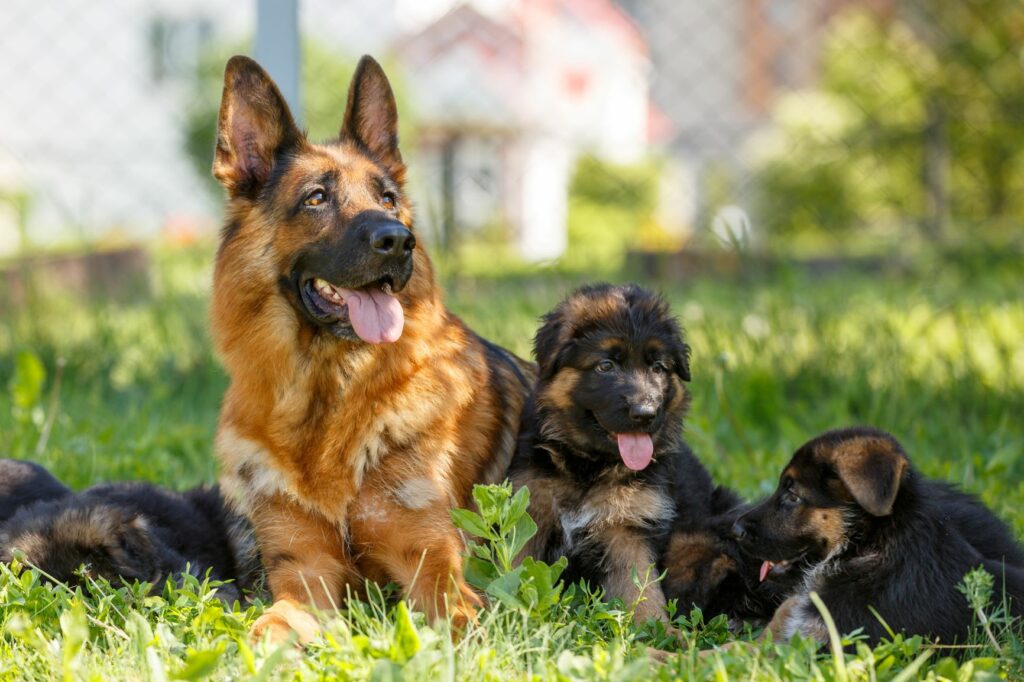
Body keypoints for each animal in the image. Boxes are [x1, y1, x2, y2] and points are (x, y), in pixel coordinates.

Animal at [507, 280, 716, 622]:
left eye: (658, 367)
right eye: (606, 366)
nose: (645, 413)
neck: (588, 467)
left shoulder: (628, 527)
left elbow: (640, 588)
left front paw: (657, 631)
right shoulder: (531, 512)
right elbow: (513, 569)